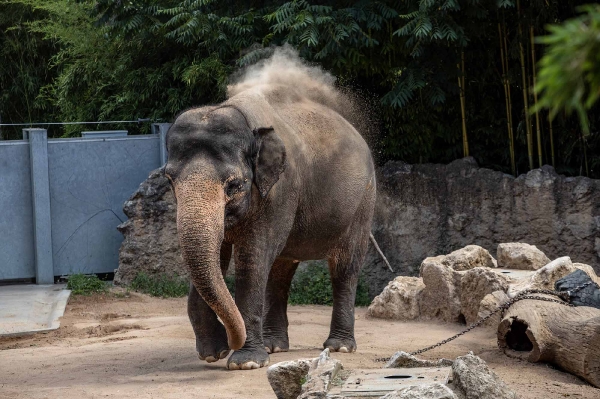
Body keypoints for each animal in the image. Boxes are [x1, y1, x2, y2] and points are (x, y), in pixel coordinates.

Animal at [164, 81, 376, 372]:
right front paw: (212, 354)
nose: (230, 343)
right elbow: (219, 257)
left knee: (344, 268)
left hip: (362, 203)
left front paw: (246, 363)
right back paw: (274, 346)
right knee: (280, 271)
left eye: (234, 185)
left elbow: (253, 258)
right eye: (169, 180)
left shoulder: (279, 191)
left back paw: (339, 347)